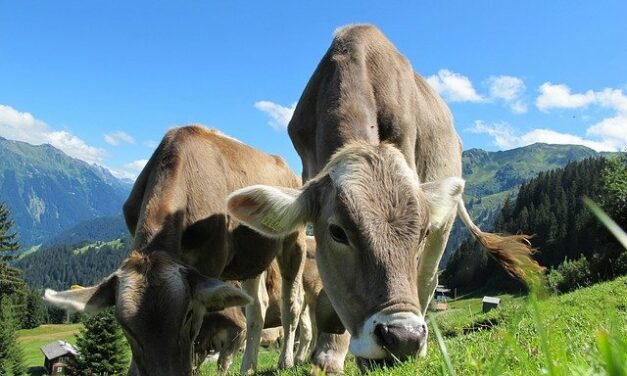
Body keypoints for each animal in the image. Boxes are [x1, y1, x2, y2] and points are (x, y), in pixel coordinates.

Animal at [43, 126, 306, 376]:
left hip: (294, 240)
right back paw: (248, 367)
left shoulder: (210, 263)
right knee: (257, 308)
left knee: (291, 304)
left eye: (187, 314)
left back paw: (287, 360)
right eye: (124, 326)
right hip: (251, 259)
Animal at [228, 24, 544, 370]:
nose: (404, 338)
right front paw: (329, 354)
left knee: (428, 280)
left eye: (421, 233)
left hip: (444, 226)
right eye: (337, 232)